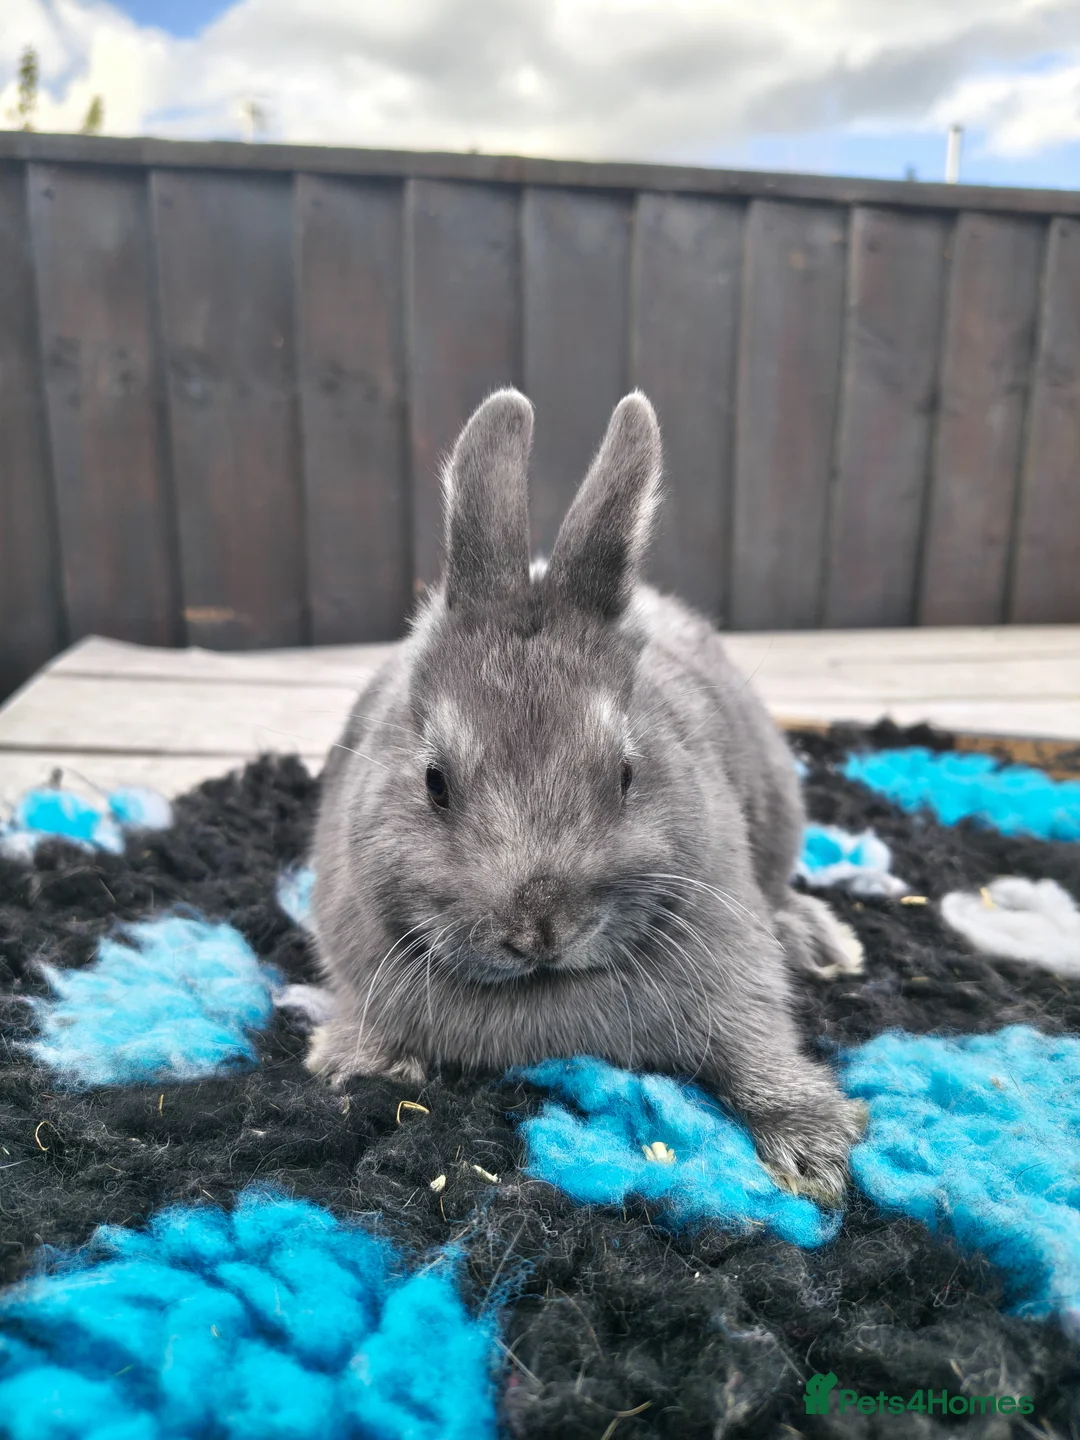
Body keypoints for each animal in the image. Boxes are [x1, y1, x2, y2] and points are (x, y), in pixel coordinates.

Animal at [307, 387, 866, 1204]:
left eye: (627, 774)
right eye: (434, 782)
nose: (541, 929)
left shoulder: (738, 981)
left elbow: (759, 1047)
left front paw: (815, 1154)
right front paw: (352, 1064)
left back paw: (818, 940)